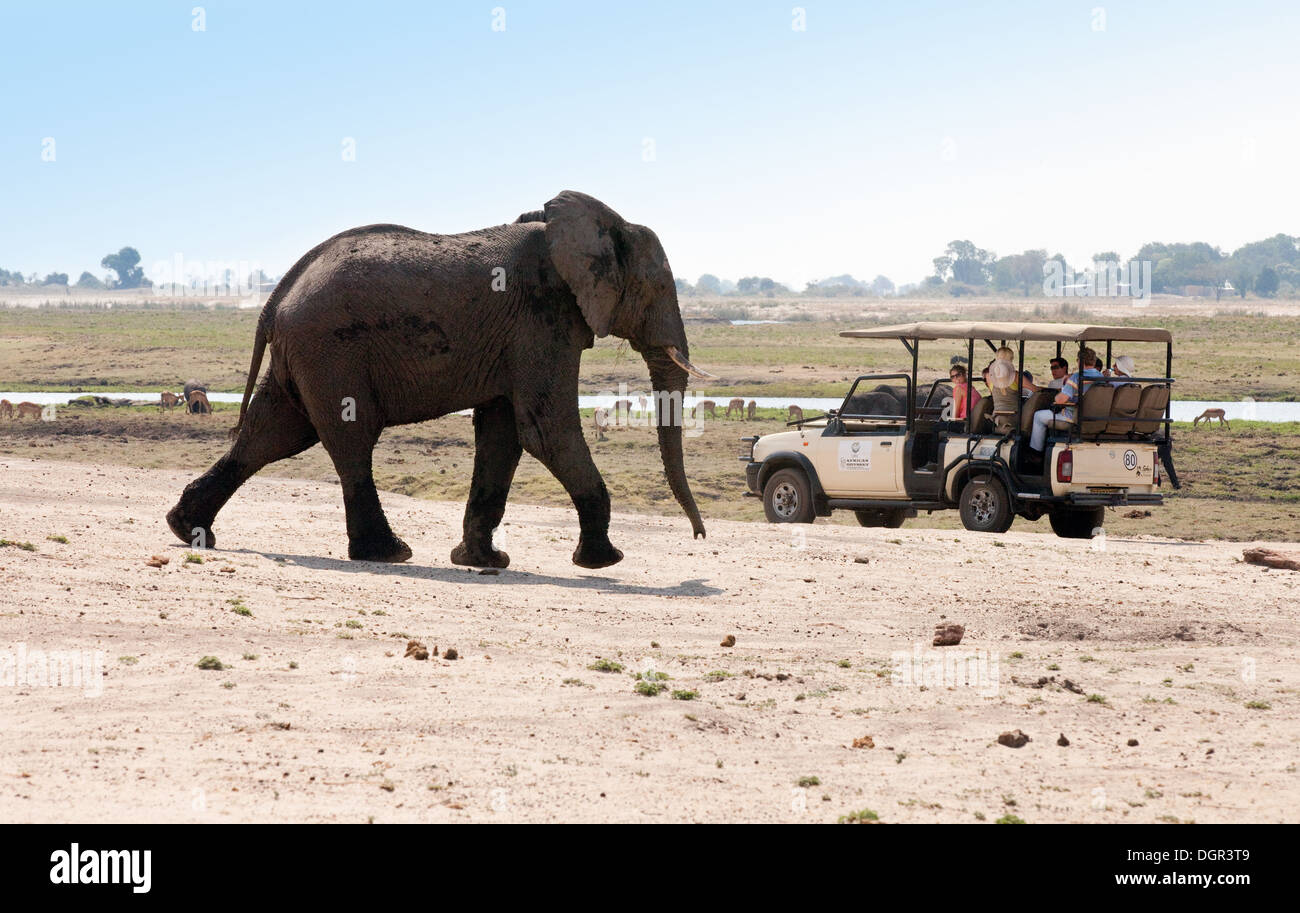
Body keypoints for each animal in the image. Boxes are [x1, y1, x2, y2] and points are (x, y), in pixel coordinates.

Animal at [165, 189, 712, 569]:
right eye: (658, 287)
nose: (700, 536)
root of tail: (276, 297)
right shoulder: (542, 320)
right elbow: (544, 429)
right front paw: (603, 563)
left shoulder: (517, 335)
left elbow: (503, 434)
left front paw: (482, 562)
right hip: (330, 349)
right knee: (349, 438)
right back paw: (388, 553)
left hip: (303, 354)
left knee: (272, 433)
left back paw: (188, 530)